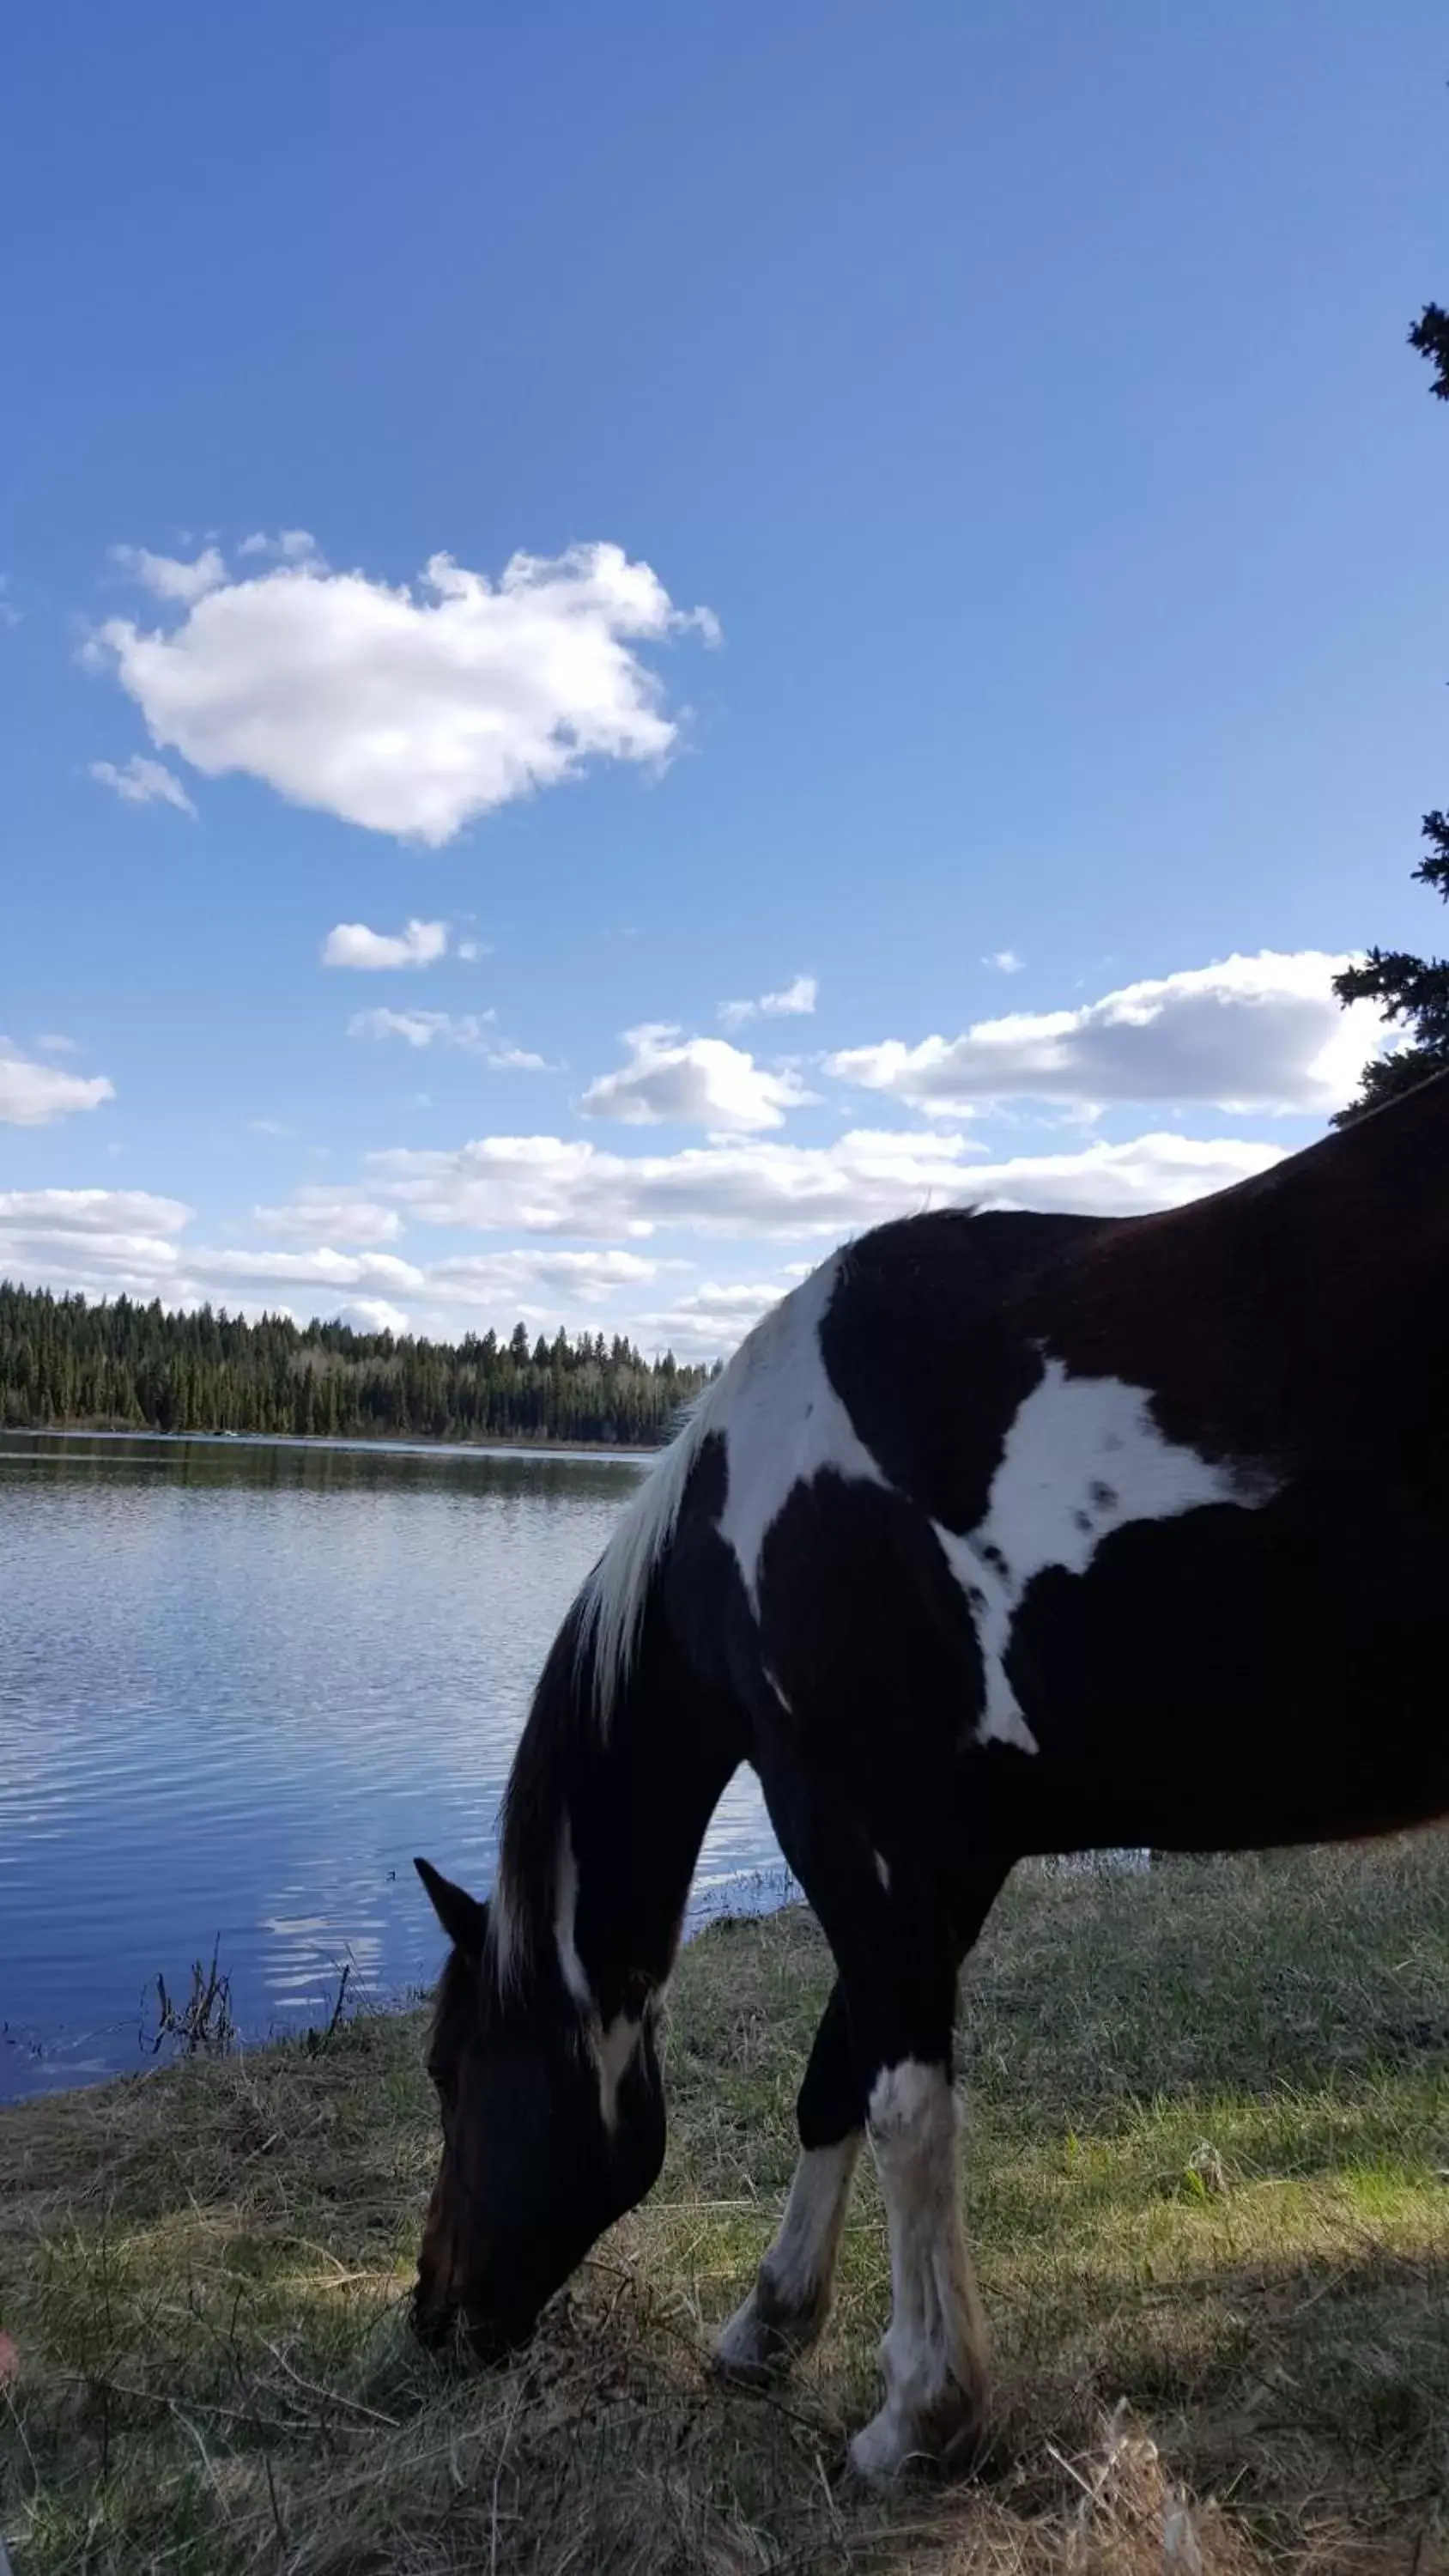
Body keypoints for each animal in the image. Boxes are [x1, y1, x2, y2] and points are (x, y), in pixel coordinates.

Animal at [411, 1066, 1449, 2473]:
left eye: (447, 2067)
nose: (430, 2314)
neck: (758, 1510)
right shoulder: (953, 1847)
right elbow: (835, 2078)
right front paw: (769, 2327)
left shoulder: (848, 1818)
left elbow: (903, 2102)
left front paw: (919, 2411)